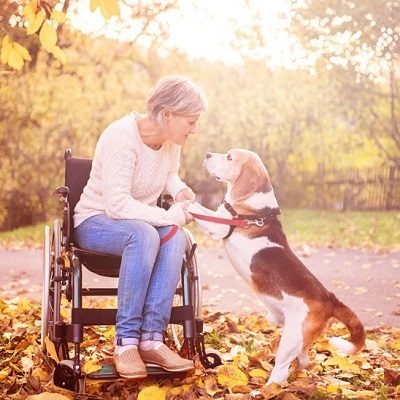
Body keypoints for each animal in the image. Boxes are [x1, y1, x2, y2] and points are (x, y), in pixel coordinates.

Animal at [186, 149, 364, 384]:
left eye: (229, 157)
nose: (207, 154)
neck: (256, 209)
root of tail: (330, 299)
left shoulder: (217, 226)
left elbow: (193, 206)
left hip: (290, 339)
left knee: (280, 372)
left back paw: (266, 388)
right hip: (298, 341)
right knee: (303, 361)